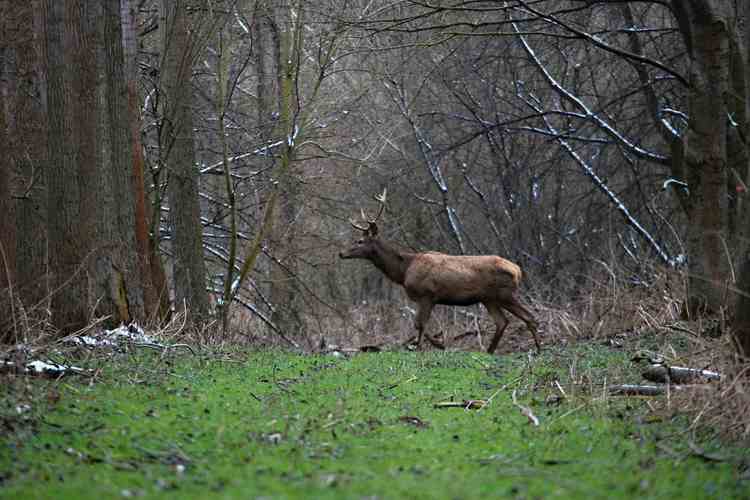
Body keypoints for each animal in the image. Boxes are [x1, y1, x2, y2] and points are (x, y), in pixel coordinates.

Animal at [340, 189, 540, 354]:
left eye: (360, 241)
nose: (341, 253)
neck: (403, 271)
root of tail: (518, 270)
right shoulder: (430, 299)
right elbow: (421, 324)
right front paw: (435, 344)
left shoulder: (426, 294)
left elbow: (419, 323)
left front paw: (427, 346)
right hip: (488, 298)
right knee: (502, 321)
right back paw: (490, 351)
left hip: (504, 294)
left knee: (529, 317)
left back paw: (538, 349)